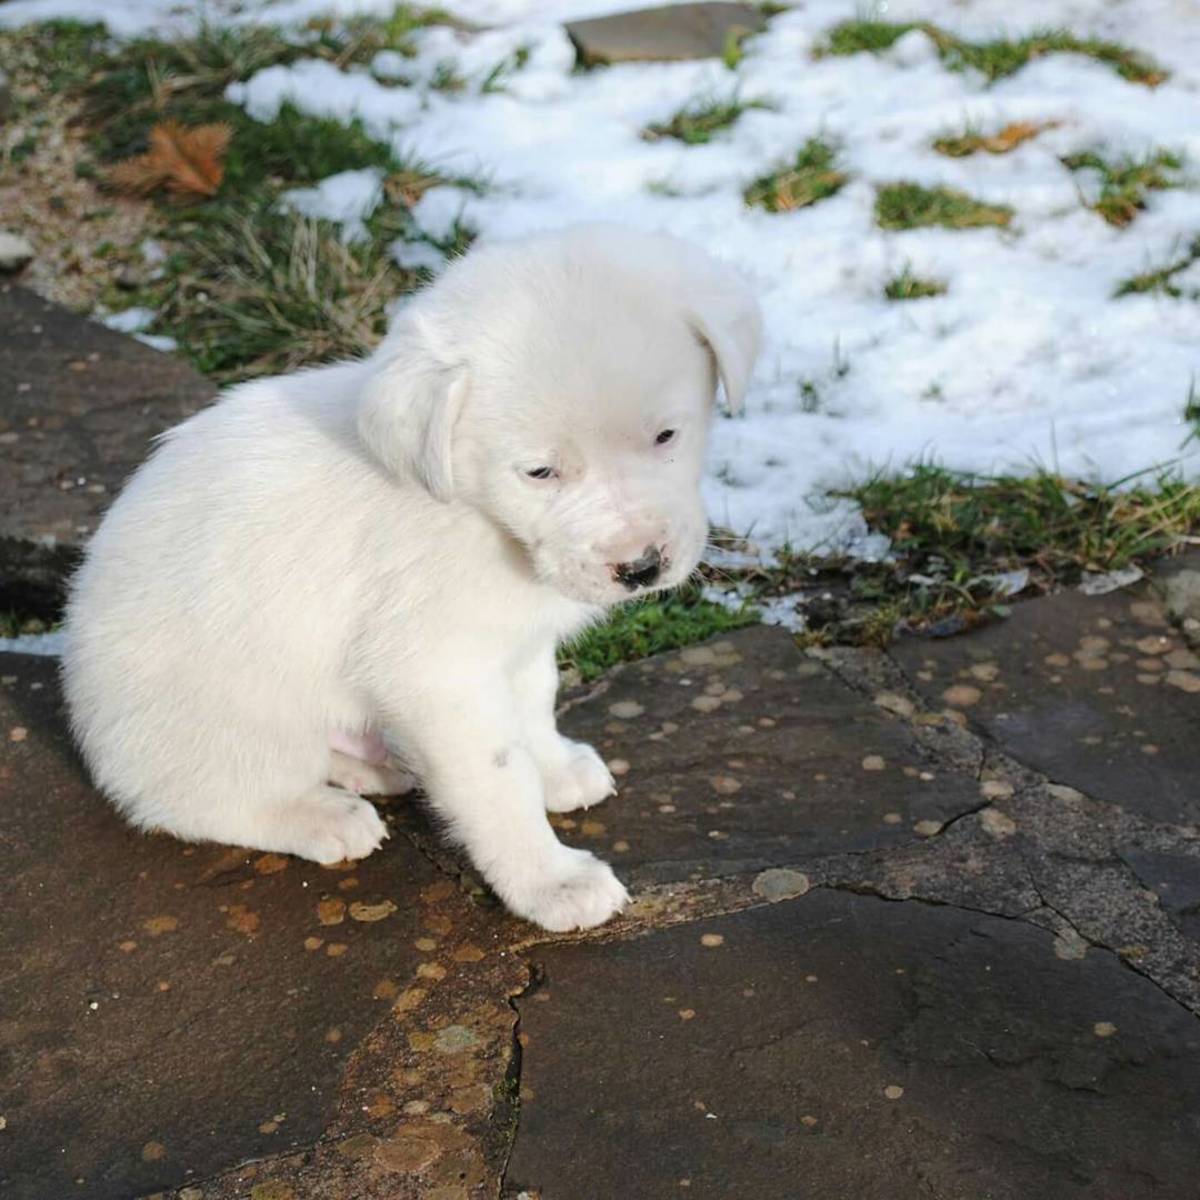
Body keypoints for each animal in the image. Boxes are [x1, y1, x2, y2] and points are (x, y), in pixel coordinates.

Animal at [60, 226, 758, 936]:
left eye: (667, 435)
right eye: (539, 472)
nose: (640, 567)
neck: (476, 510)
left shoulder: (516, 644)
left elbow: (533, 706)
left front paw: (556, 769)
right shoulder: (438, 673)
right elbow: (498, 778)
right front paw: (551, 881)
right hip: (235, 714)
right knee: (195, 798)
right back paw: (320, 814)